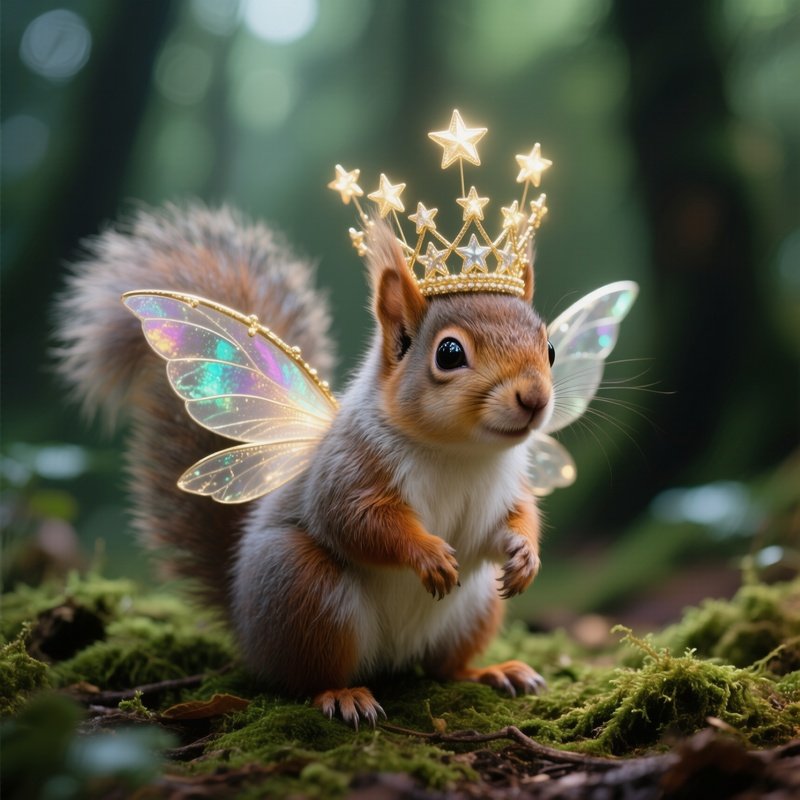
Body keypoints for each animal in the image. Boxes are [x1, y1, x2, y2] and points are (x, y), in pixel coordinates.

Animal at [55, 203, 552, 726]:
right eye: (449, 352)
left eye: (551, 349)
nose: (535, 398)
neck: (459, 452)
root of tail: (247, 631)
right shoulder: (349, 467)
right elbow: (357, 521)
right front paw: (428, 553)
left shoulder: (510, 485)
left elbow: (516, 518)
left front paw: (525, 555)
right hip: (305, 588)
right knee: (306, 678)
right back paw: (342, 694)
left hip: (476, 606)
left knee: (444, 667)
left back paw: (491, 671)